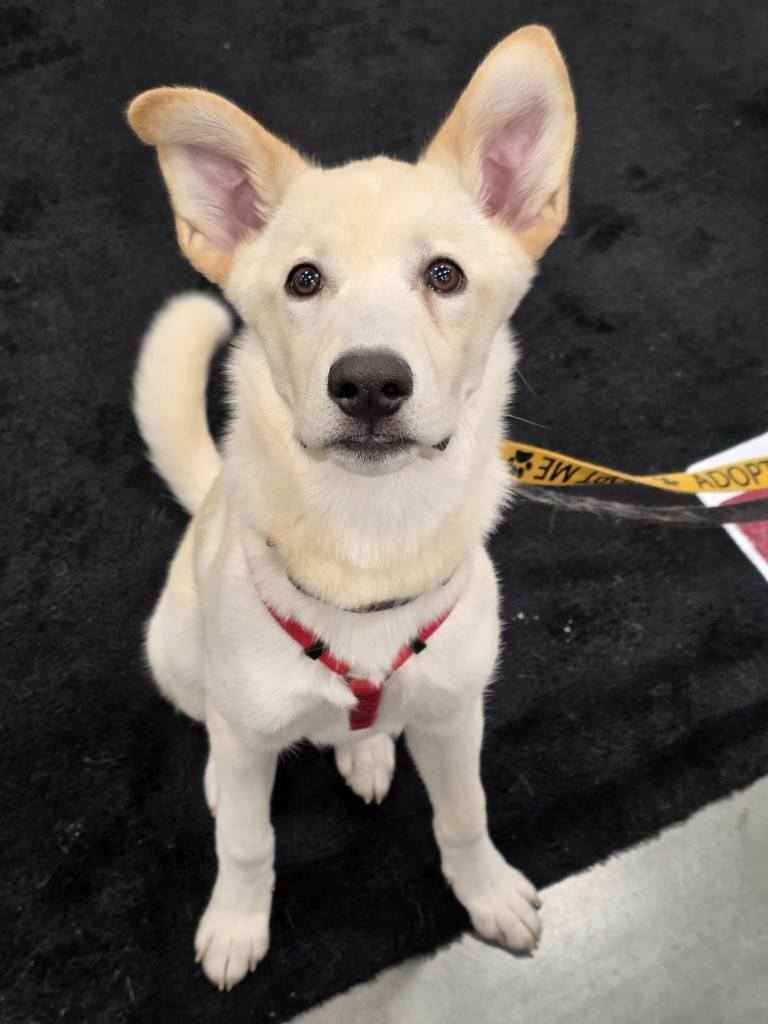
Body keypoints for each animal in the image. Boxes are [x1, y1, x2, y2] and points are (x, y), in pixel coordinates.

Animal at [127, 25, 576, 990]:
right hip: (174, 648)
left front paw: (486, 893)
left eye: (444, 274)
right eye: (303, 281)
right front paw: (237, 923)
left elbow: (465, 815)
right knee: (216, 730)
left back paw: (364, 745)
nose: (369, 383)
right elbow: (248, 842)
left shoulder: (455, 715)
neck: (372, 538)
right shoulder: (250, 728)